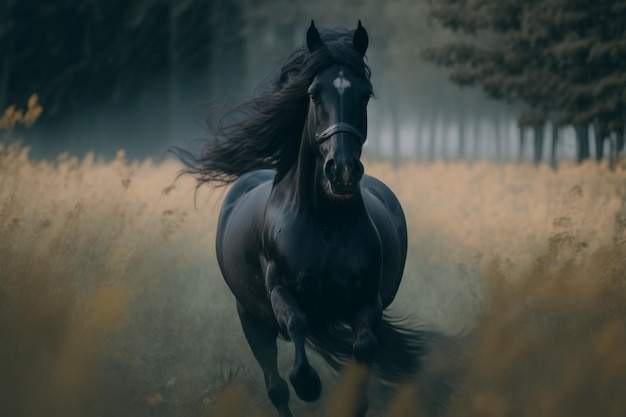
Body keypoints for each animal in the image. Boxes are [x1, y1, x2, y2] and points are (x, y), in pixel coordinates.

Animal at [173, 22, 442, 416]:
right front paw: (308, 384)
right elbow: (297, 323)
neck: (325, 223)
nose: (342, 172)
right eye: (314, 95)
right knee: (276, 387)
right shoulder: (279, 291)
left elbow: (363, 351)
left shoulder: (367, 303)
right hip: (250, 319)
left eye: (364, 96)